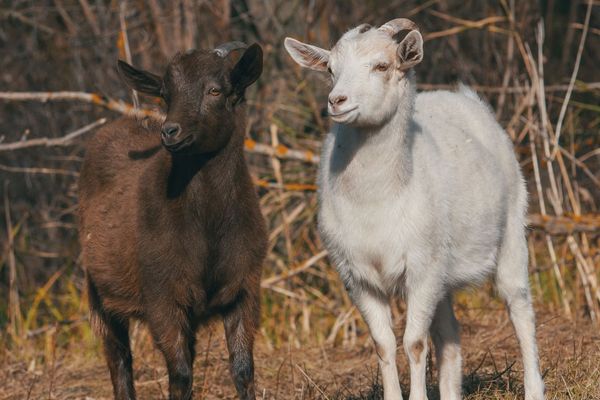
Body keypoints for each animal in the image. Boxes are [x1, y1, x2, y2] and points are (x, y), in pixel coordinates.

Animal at [78, 42, 266, 398]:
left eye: (215, 90)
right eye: (166, 95)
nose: (170, 131)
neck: (208, 228)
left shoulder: (243, 289)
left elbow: (243, 369)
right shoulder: (163, 296)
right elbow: (179, 375)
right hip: (100, 294)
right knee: (119, 359)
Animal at [284, 18, 544, 400]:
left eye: (382, 66)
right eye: (330, 69)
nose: (337, 101)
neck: (377, 201)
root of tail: (465, 98)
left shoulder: (422, 269)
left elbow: (414, 343)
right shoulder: (357, 276)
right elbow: (383, 344)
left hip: (510, 231)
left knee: (520, 308)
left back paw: (534, 387)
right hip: (444, 273)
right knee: (450, 335)